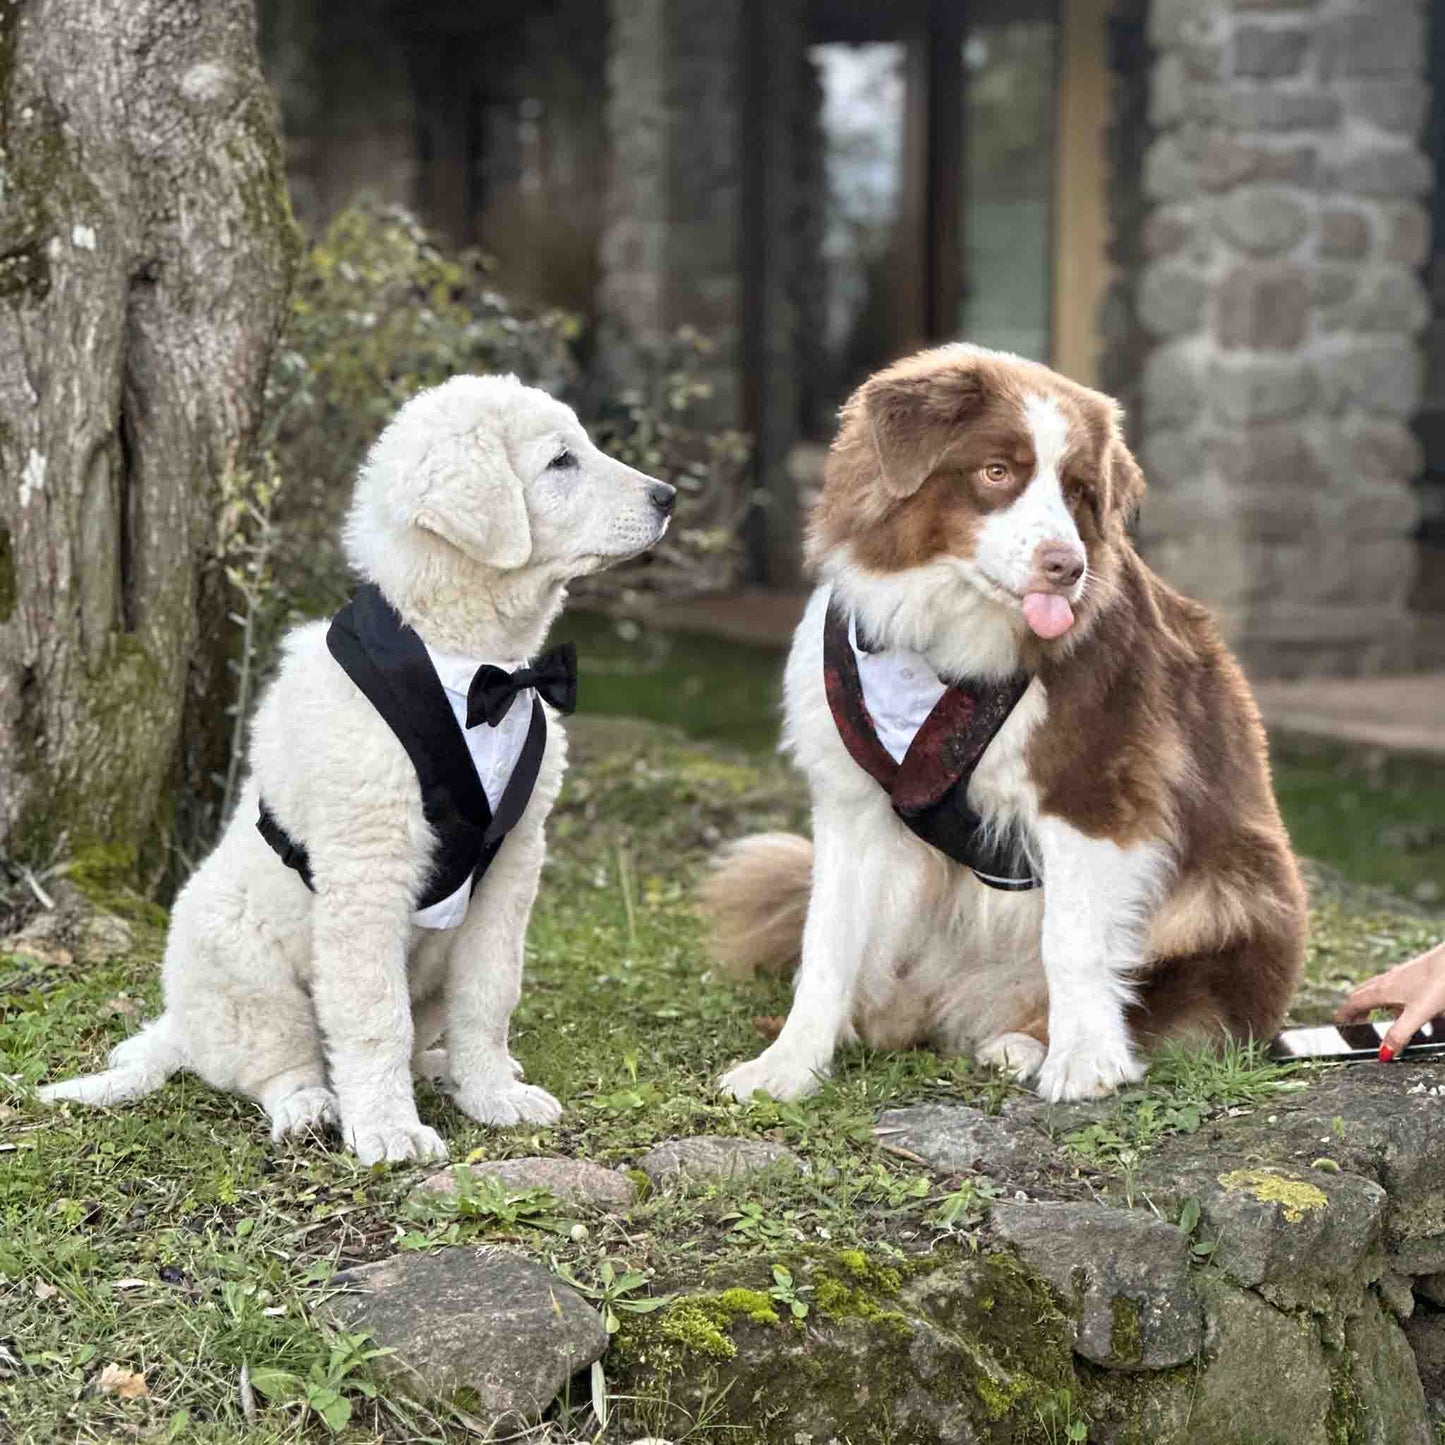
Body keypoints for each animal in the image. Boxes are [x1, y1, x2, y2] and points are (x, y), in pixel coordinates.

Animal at [42, 369, 676, 1161]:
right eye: (561, 461)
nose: (667, 497)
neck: (479, 669)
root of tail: (179, 1028)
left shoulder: (514, 861)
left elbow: (490, 991)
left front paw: (493, 1094)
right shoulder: (368, 872)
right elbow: (374, 1014)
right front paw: (389, 1131)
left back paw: (439, 1069)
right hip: (245, 970)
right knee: (283, 1062)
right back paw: (313, 1107)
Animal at [705, 343, 1306, 1098]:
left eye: (1078, 490)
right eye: (996, 472)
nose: (1066, 566)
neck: (940, 637)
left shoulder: (1093, 786)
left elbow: (1071, 938)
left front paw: (1084, 1061)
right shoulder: (850, 802)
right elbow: (827, 940)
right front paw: (789, 1064)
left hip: (1229, 890)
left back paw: (1025, 1042)